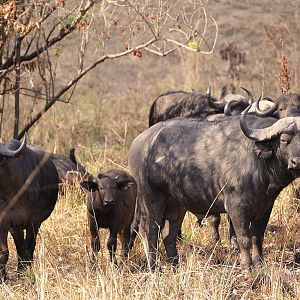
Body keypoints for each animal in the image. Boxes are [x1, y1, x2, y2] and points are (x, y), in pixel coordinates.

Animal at [0, 135, 59, 280]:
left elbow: (29, 247)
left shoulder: (34, 221)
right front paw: (3, 278)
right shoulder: (4, 222)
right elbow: (4, 251)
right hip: (15, 227)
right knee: (20, 245)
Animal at [127, 107, 300, 270]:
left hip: (176, 203)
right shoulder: (236, 207)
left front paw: (259, 265)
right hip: (150, 197)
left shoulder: (265, 207)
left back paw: (175, 264)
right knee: (149, 230)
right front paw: (247, 267)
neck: (258, 162)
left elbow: (258, 237)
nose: (296, 162)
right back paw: (153, 266)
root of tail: (138, 142)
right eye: (284, 140)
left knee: (169, 233)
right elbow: (244, 238)